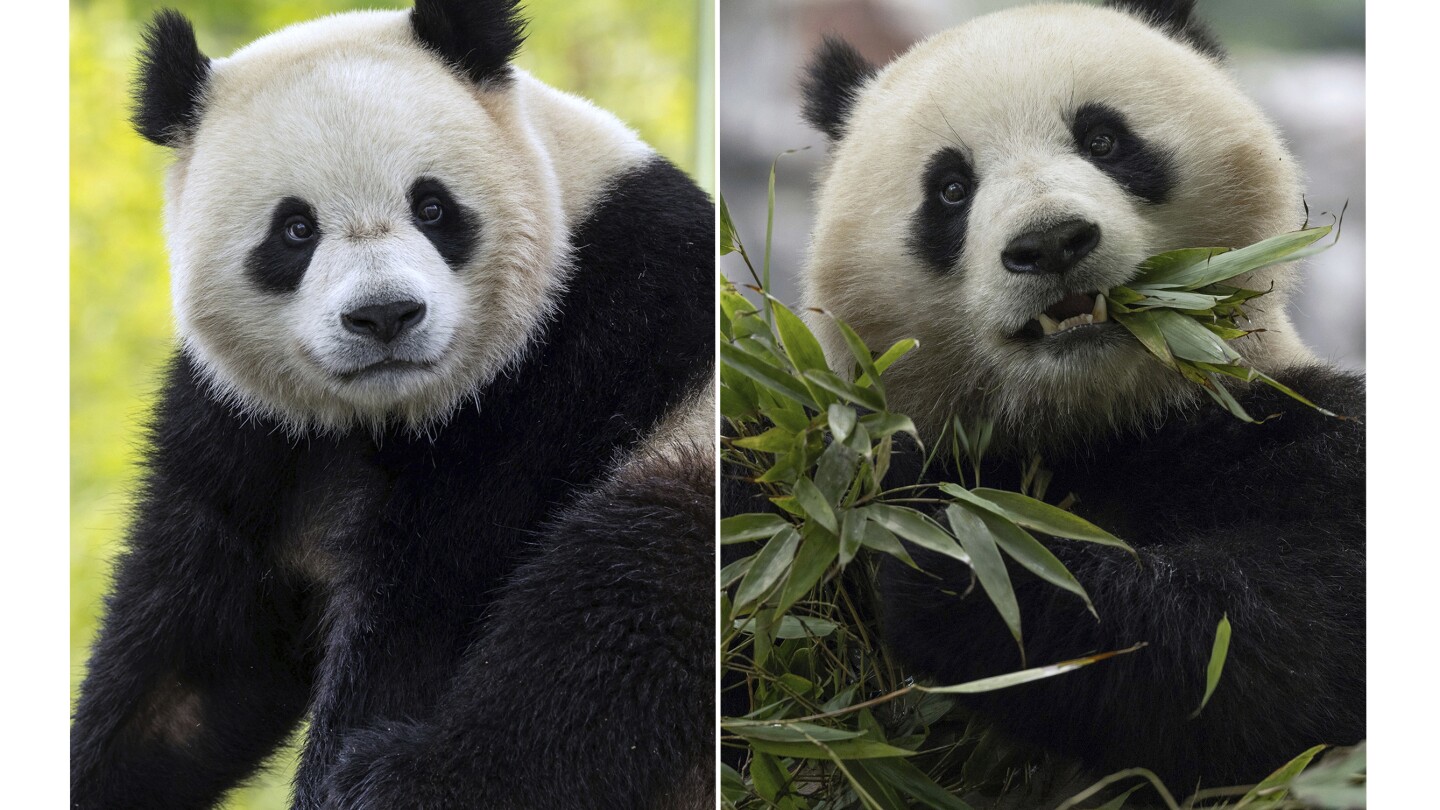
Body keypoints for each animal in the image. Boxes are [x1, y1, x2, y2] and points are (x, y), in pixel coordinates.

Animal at [69, 2, 715, 809]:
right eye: (295, 228)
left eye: (432, 206)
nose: (384, 316)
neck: (384, 413)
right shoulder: (251, 426)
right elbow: (192, 662)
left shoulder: (572, 364)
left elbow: (424, 613)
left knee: (620, 610)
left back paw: (410, 777)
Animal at [795, 0, 1363, 794]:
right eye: (950, 188)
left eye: (1103, 139)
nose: (1052, 242)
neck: (1092, 418)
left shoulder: (1290, 429)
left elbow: (1280, 641)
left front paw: (961, 568)